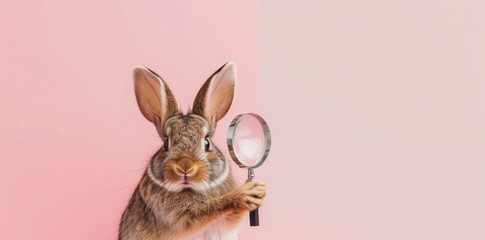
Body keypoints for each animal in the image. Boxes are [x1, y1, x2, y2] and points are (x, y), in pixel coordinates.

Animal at [119, 62, 266, 240]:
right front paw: (243, 194)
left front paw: (257, 191)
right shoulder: (176, 216)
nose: (185, 167)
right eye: (166, 143)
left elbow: (233, 218)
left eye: (207, 142)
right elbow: (203, 212)